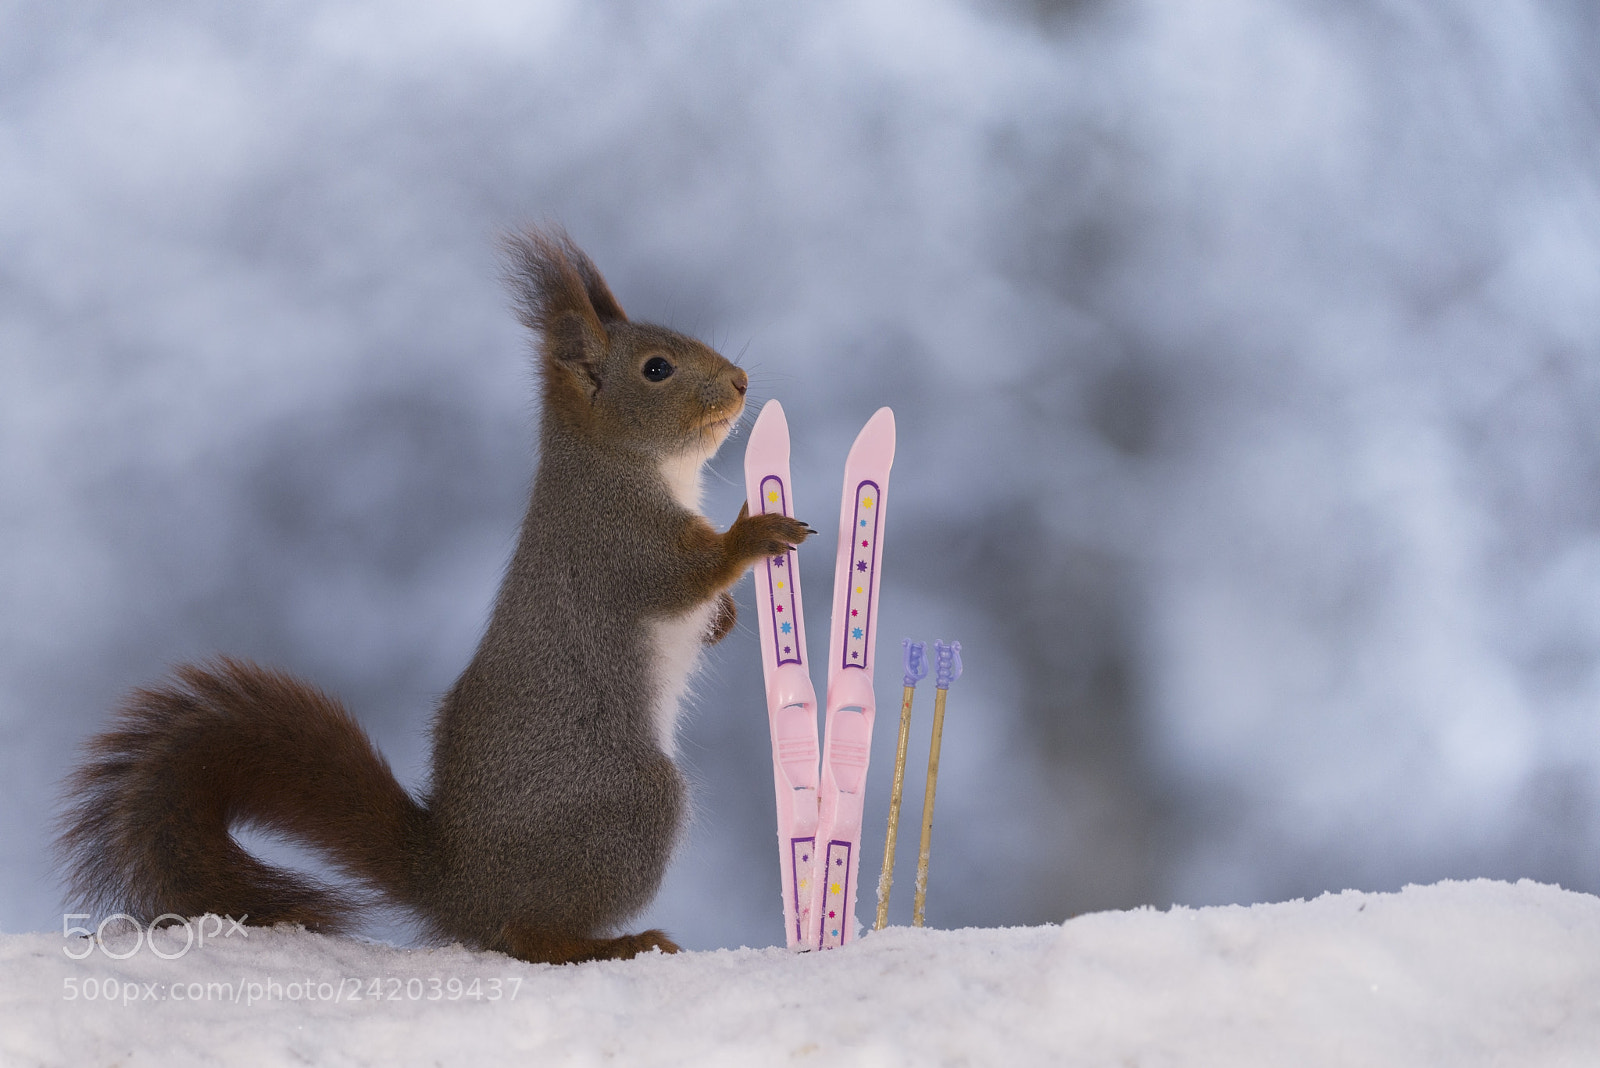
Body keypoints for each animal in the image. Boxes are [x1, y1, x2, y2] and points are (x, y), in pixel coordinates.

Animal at [55, 228, 813, 964]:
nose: (741, 382)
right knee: (527, 937)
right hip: (631, 805)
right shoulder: (617, 544)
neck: (624, 465)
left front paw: (725, 616)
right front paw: (754, 533)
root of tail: (460, 886)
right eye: (657, 369)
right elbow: (681, 576)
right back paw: (616, 943)